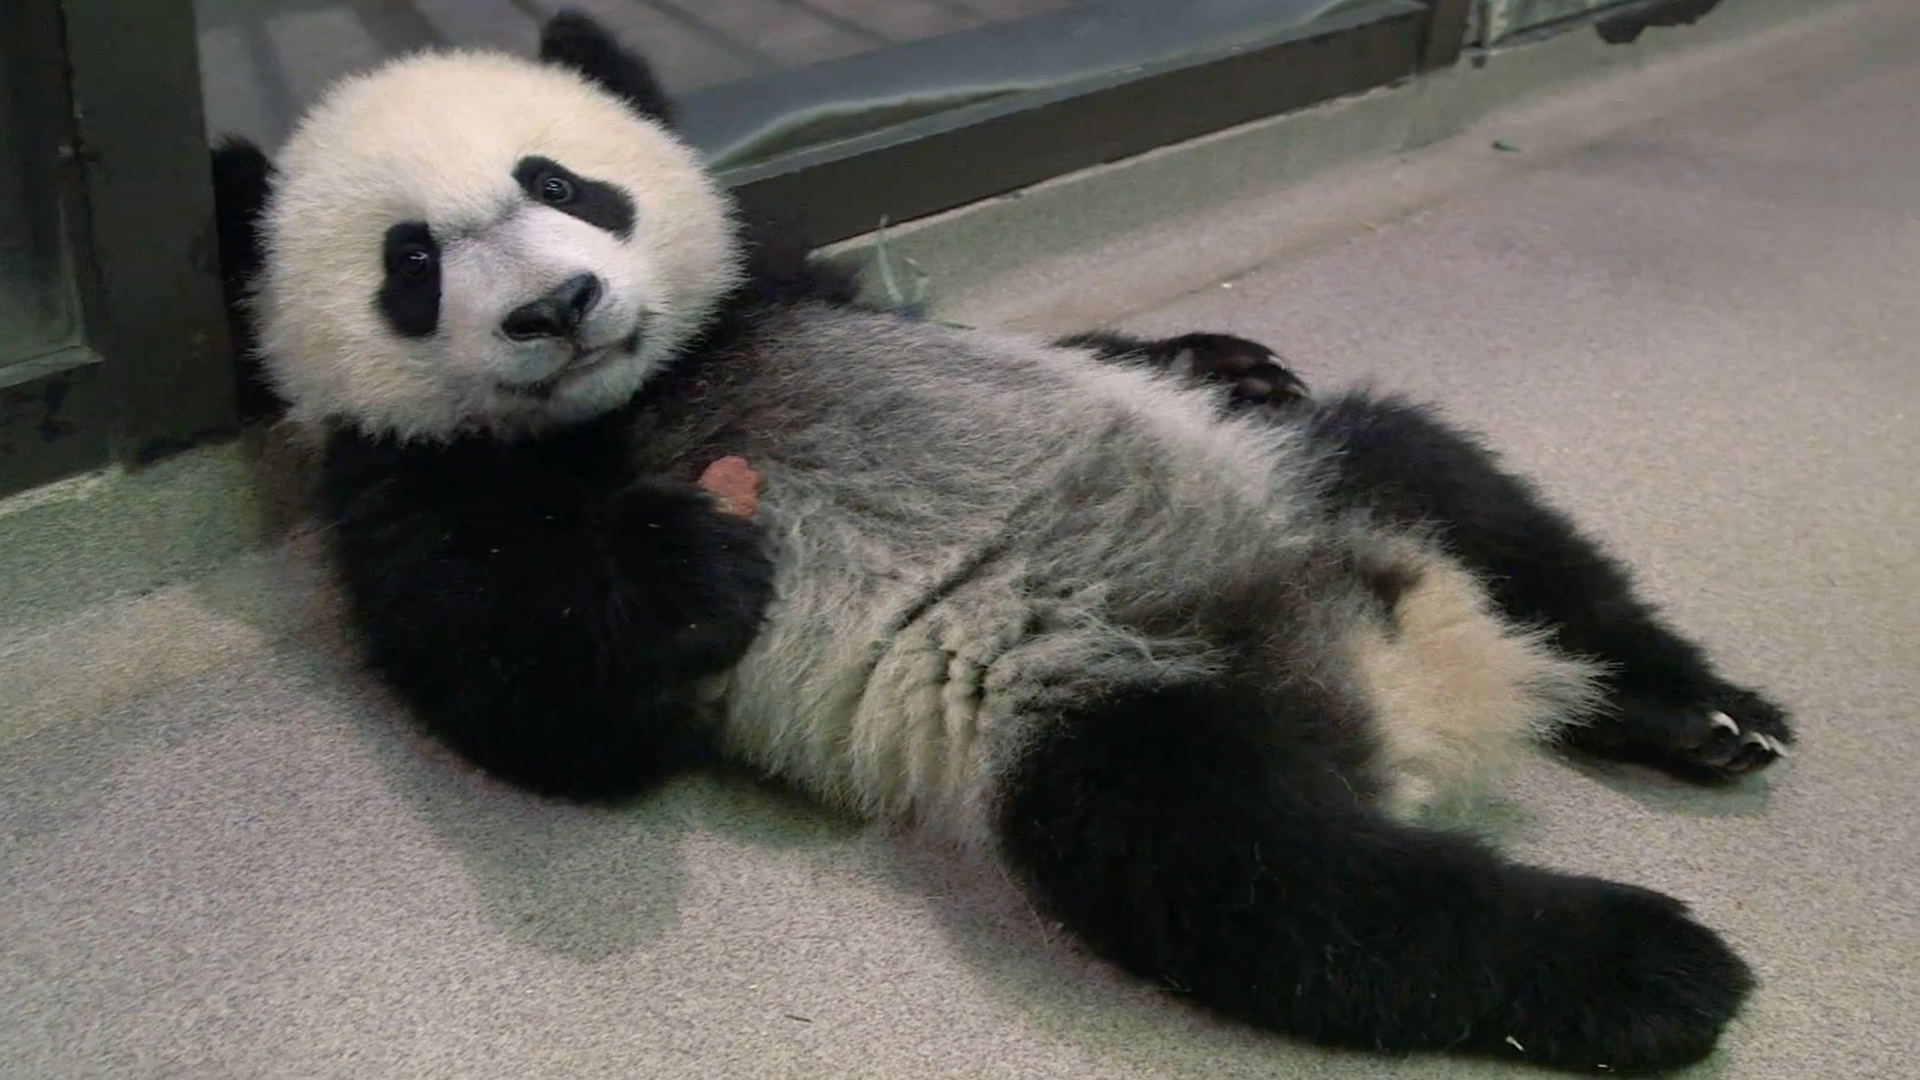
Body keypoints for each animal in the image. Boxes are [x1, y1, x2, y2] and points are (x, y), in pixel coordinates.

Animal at [211, 12, 1794, 1075]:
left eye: (566, 184)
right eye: (413, 262)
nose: (560, 307)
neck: (641, 391)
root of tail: (1410, 679)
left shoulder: (783, 287)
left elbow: (1001, 334)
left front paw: (1216, 350)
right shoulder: (408, 492)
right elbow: (540, 708)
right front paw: (690, 565)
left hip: (1302, 484)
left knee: (1450, 486)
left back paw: (1697, 710)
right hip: (1115, 718)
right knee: (1269, 879)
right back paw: (1651, 966)